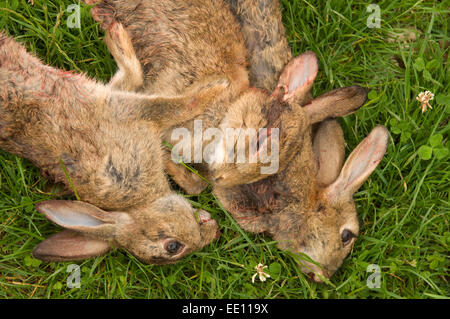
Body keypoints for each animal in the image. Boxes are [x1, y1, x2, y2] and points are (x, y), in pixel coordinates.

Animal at [0, 31, 221, 264]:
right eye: (173, 247)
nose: (215, 232)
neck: (140, 202)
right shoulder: (128, 111)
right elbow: (178, 106)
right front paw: (215, 88)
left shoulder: (117, 101)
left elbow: (132, 77)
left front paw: (117, 35)